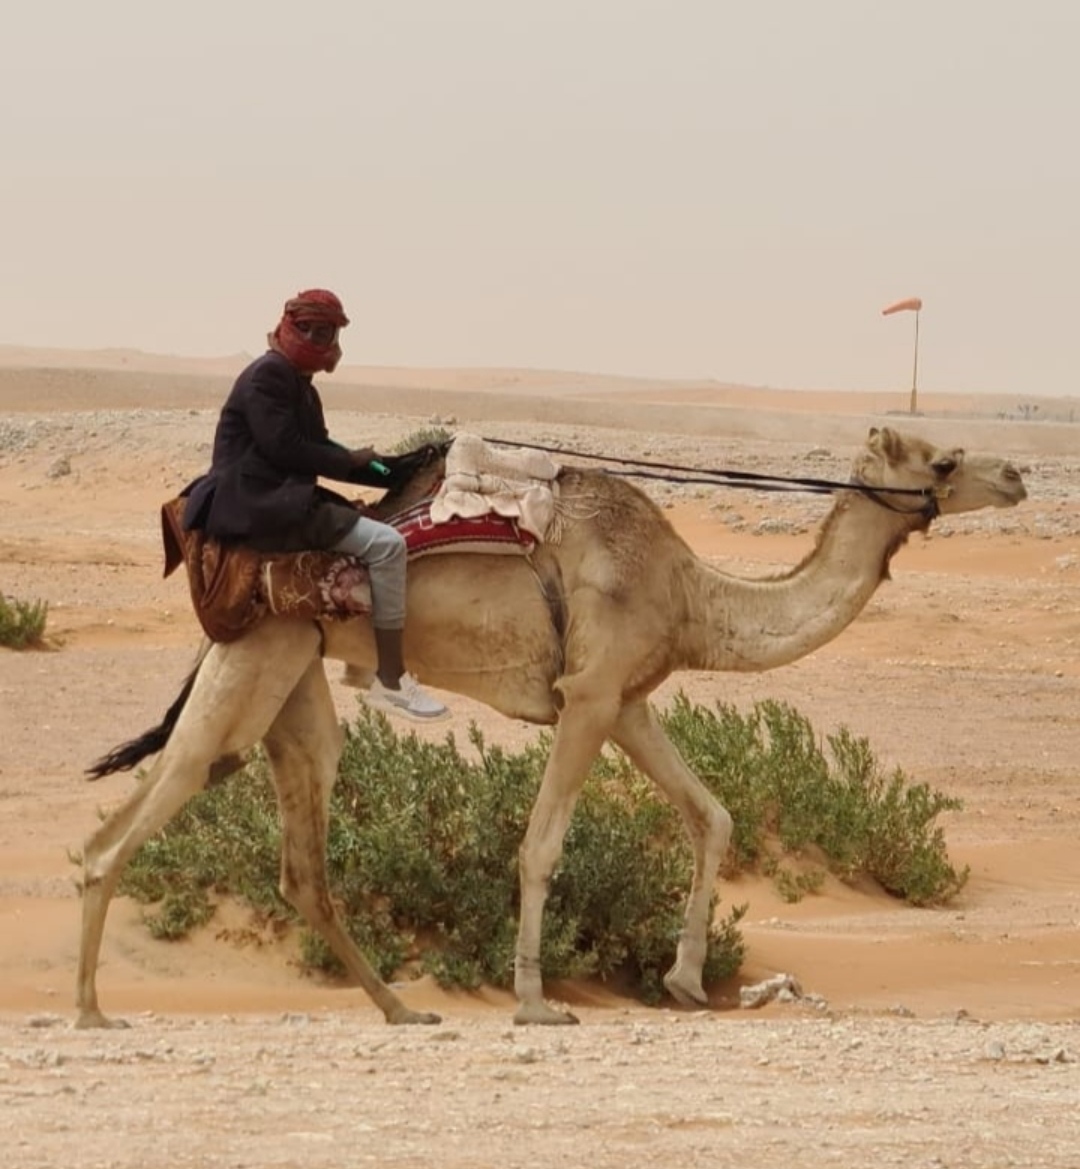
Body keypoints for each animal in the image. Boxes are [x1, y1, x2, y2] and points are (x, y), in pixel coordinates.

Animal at [73, 425, 1019, 1028]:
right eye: (943, 458)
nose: (1016, 475)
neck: (691, 594)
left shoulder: (624, 698)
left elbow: (712, 814)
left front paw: (683, 981)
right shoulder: (590, 694)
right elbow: (541, 845)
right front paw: (535, 1002)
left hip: (291, 674)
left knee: (299, 852)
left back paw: (402, 1009)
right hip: (254, 654)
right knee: (144, 808)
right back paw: (90, 1011)